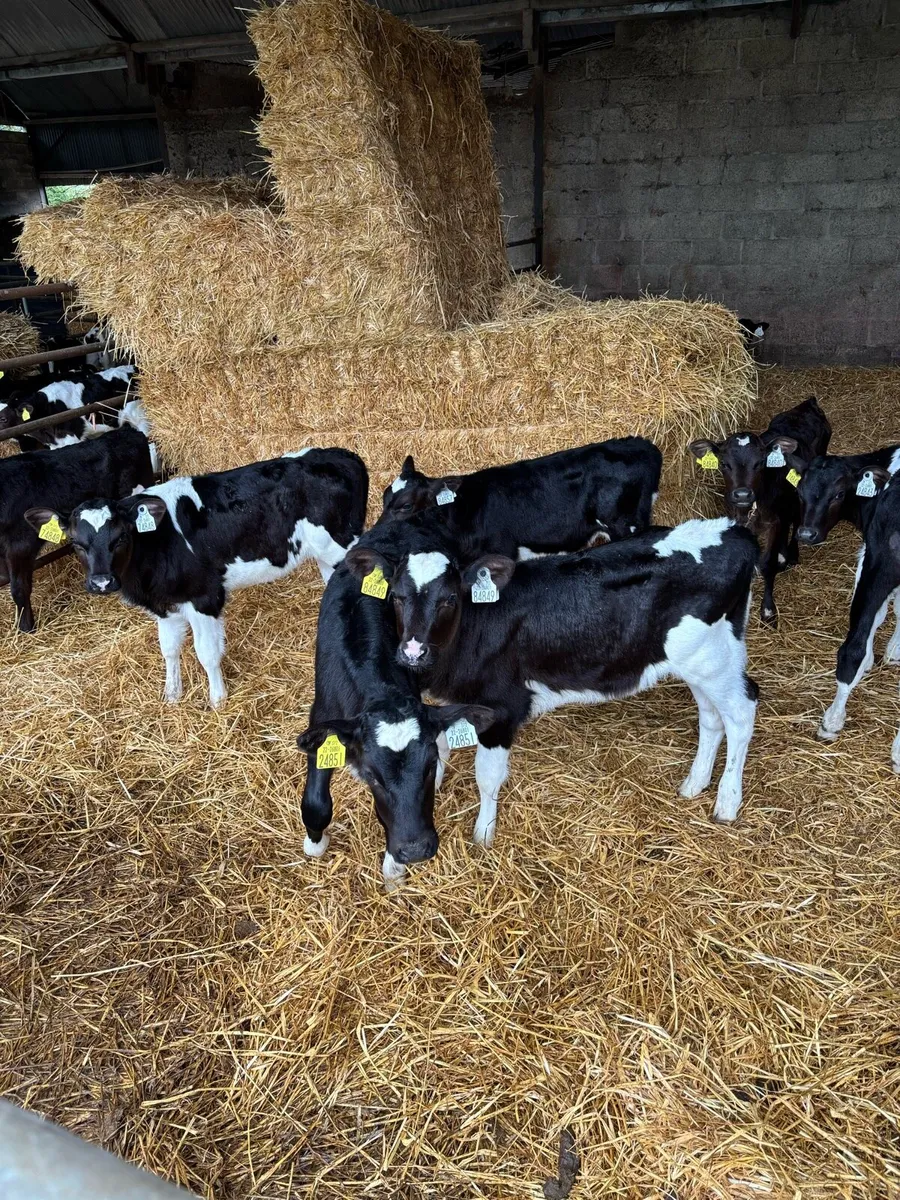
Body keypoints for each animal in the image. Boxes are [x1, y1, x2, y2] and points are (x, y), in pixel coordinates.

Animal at [27, 448, 368, 707]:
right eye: (75, 543)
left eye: (121, 537)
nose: (101, 583)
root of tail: (341, 454)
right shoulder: (165, 605)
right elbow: (168, 649)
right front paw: (172, 694)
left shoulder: (204, 596)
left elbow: (207, 654)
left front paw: (217, 700)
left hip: (344, 546)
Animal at [301, 515, 759, 883]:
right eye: (395, 596)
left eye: (449, 598)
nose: (413, 652)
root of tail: (735, 530)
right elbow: (443, 740)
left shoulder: (502, 709)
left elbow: (487, 776)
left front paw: (483, 835)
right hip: (699, 659)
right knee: (711, 717)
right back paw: (694, 784)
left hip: (712, 660)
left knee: (741, 710)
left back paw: (726, 802)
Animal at [689, 396, 832, 626]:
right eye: (724, 463)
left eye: (760, 462)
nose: (742, 494)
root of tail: (807, 404)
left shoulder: (774, 522)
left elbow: (767, 563)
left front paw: (767, 610)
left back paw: (791, 555)